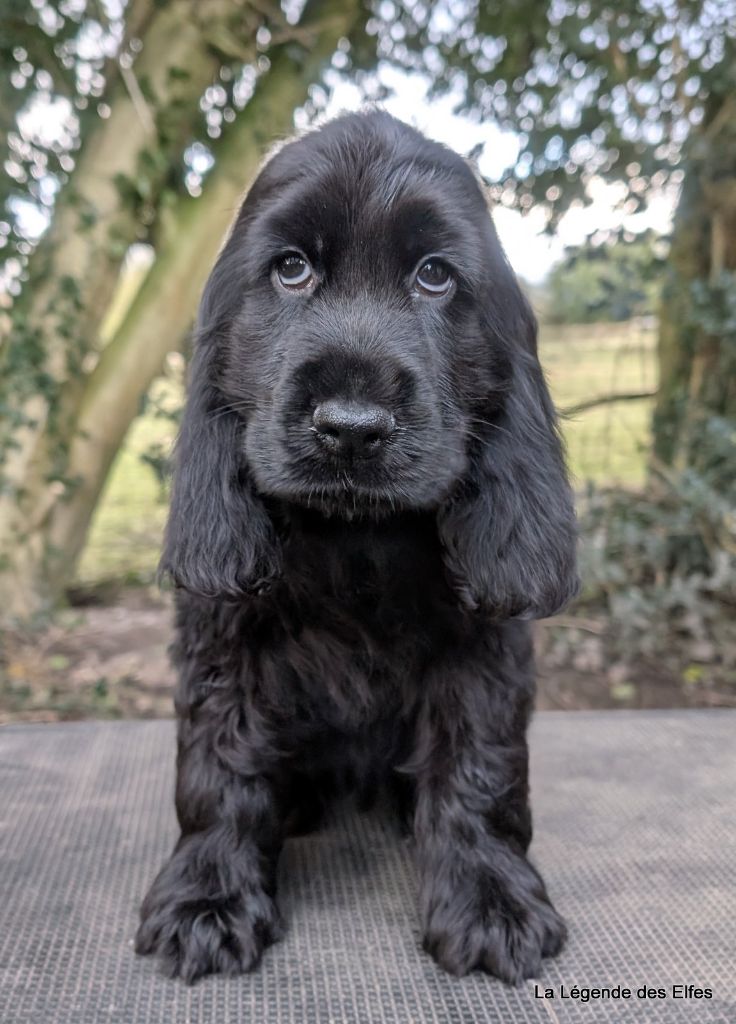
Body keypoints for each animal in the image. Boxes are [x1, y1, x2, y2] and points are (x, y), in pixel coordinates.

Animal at [135, 110, 577, 983]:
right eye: (291, 269)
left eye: (435, 276)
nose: (351, 428)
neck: (355, 537)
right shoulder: (223, 639)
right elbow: (219, 763)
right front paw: (208, 896)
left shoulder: (483, 649)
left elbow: (479, 765)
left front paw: (490, 898)